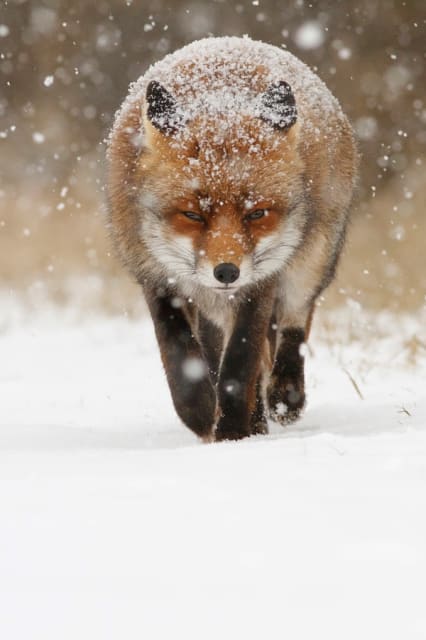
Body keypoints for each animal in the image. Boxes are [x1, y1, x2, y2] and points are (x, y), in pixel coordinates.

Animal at [106, 36, 358, 441]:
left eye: (257, 214)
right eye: (193, 215)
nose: (226, 272)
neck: (218, 98)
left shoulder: (260, 285)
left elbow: (240, 366)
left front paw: (233, 433)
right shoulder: (156, 278)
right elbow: (182, 357)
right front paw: (202, 414)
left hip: (311, 261)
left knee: (294, 324)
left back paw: (284, 396)